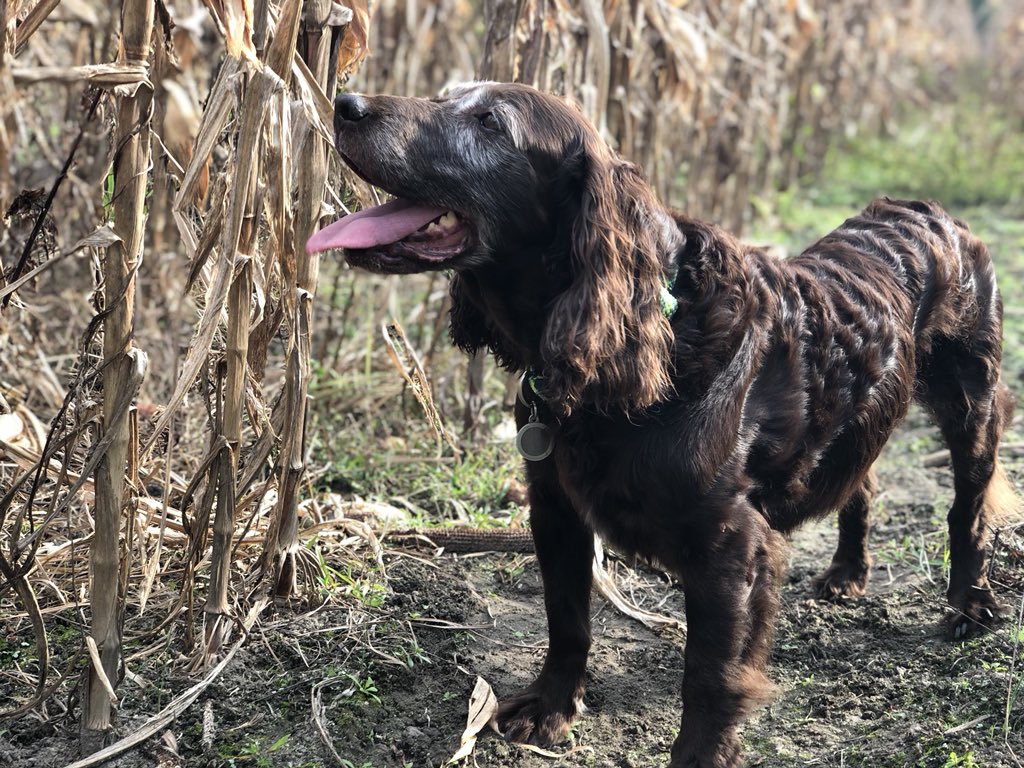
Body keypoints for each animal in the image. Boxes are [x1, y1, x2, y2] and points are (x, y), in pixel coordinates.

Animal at [307, 82, 1011, 768]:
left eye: (489, 122)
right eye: (443, 93)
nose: (343, 102)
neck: (644, 337)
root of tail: (928, 208)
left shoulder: (731, 547)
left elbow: (711, 675)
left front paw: (700, 753)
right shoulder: (555, 509)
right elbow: (567, 620)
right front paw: (552, 708)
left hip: (972, 401)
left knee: (968, 509)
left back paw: (969, 605)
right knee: (860, 483)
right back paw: (848, 574)